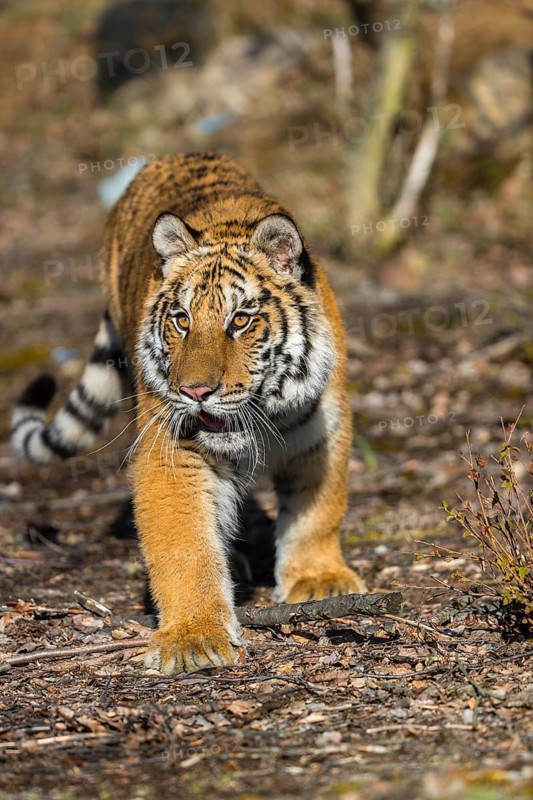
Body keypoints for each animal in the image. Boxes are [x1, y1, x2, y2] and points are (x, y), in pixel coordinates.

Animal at [11, 152, 366, 674]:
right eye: (182, 320)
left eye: (240, 320)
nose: (195, 391)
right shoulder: (171, 446)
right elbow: (183, 544)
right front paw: (192, 637)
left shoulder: (321, 429)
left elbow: (319, 507)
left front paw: (318, 578)